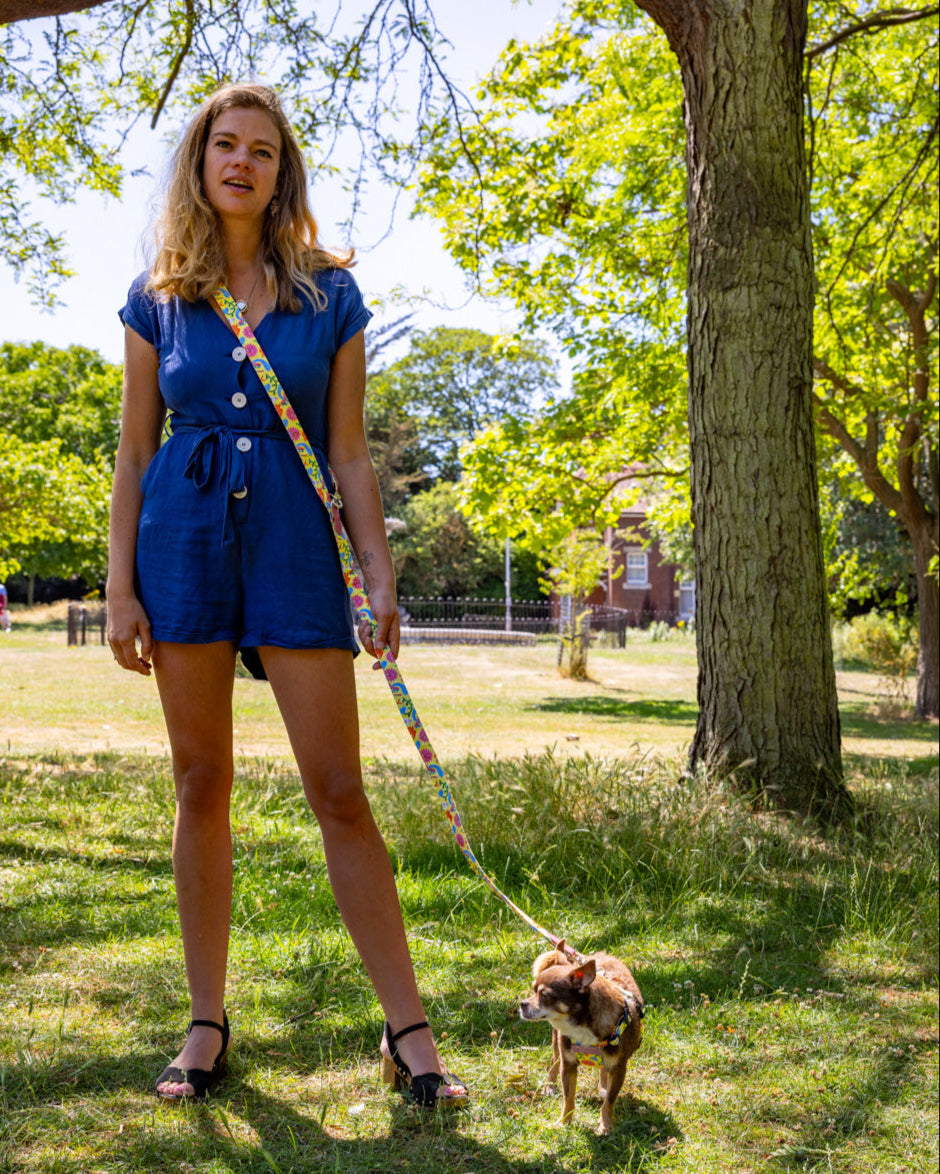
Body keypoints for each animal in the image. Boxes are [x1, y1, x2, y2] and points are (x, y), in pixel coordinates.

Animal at [519, 942, 643, 1134]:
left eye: (544, 995)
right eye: (533, 991)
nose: (522, 1004)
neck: (582, 1028)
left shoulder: (619, 1069)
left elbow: (609, 1101)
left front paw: (605, 1125)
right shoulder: (568, 1065)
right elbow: (568, 1097)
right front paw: (564, 1122)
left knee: (603, 1070)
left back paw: (603, 1087)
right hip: (557, 1043)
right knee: (554, 1060)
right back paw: (550, 1085)